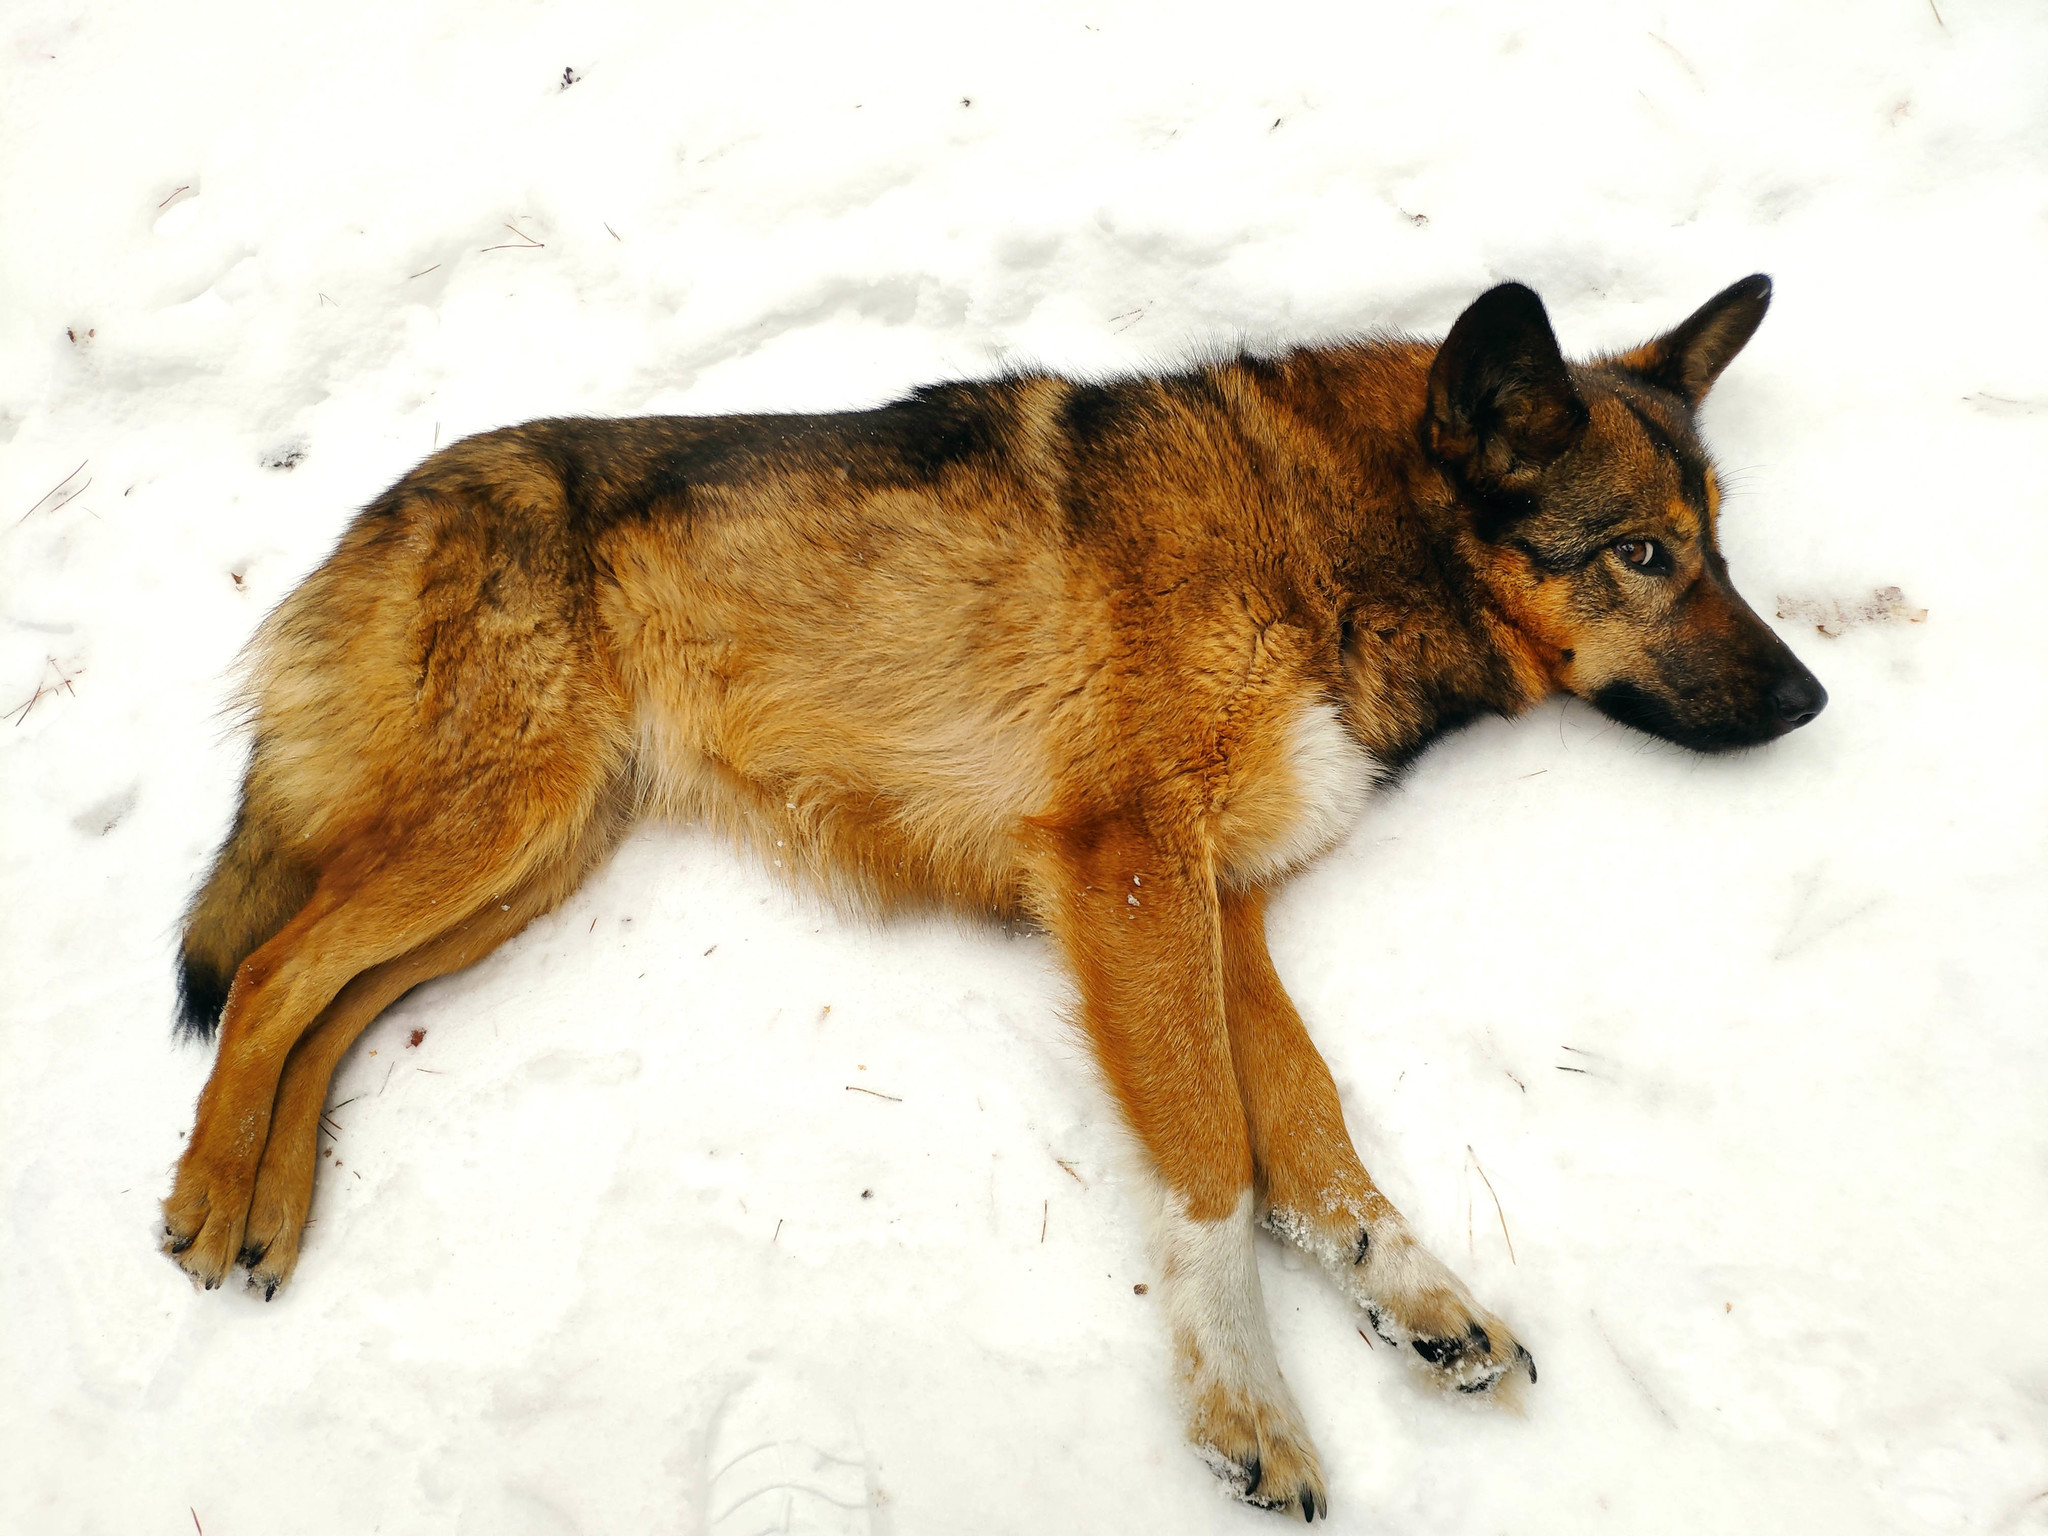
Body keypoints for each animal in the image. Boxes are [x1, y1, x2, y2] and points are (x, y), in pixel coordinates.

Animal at [159, 274, 1826, 1515]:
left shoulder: (1222, 907)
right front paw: (1249, 1411)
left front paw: (1413, 1298)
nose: (1813, 702)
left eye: (1721, 548)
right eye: (1644, 553)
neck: (1326, 543)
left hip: (526, 868)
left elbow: (1312, 1138)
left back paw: (271, 1204)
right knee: (275, 969)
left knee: (326, 993)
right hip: (497, 830)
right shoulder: (1132, 874)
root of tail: (397, 495)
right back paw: (211, 1197)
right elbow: (1214, 1165)